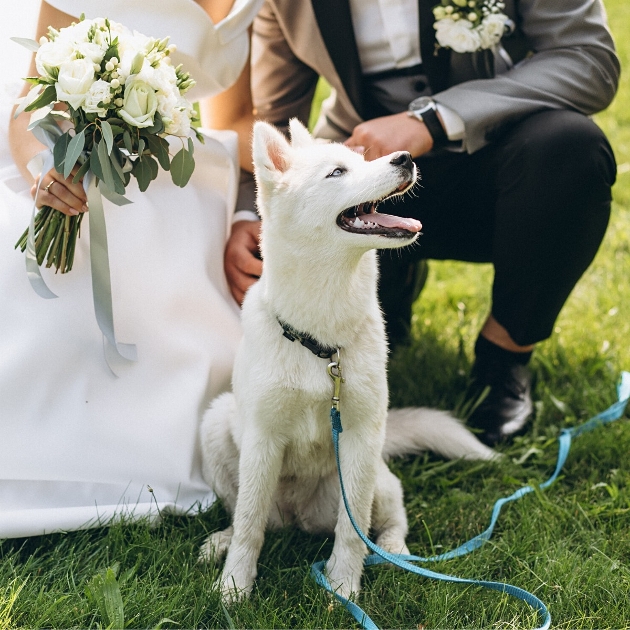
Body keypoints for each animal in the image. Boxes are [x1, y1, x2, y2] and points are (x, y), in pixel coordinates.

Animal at [200, 119, 496, 604]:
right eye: (337, 172)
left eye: (362, 158)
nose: (405, 158)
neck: (322, 341)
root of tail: (299, 519)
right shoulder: (262, 439)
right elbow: (248, 525)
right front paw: (234, 586)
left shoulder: (360, 437)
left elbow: (352, 531)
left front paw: (342, 586)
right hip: (217, 425)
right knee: (254, 516)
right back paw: (222, 541)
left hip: (378, 477)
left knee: (386, 520)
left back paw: (395, 552)